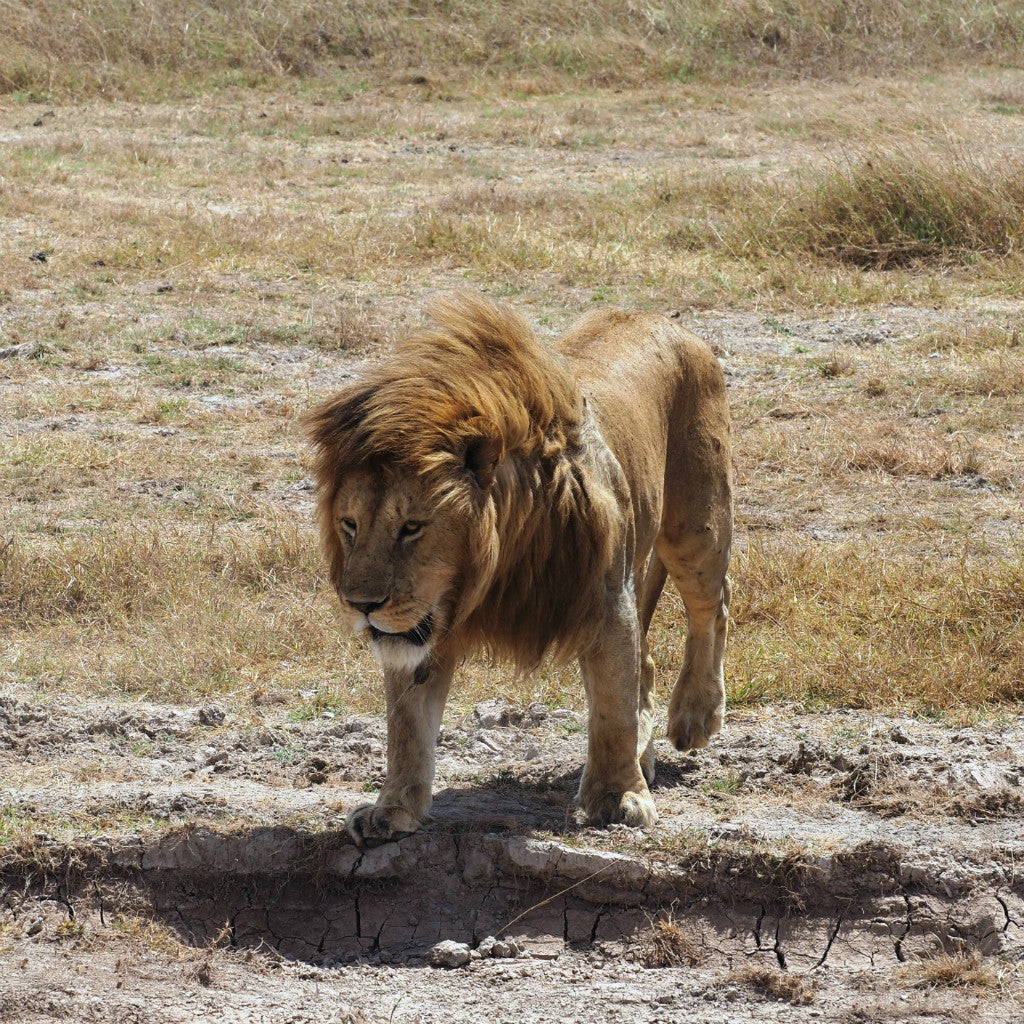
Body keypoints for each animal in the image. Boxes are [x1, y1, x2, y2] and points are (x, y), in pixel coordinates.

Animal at [307, 296, 733, 847]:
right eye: (350, 524)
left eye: (412, 527)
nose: (360, 605)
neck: (490, 570)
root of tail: (659, 317)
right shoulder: (418, 630)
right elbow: (406, 725)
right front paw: (392, 809)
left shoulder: (606, 602)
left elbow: (611, 708)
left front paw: (618, 798)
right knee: (649, 660)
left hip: (696, 524)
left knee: (713, 605)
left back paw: (696, 714)